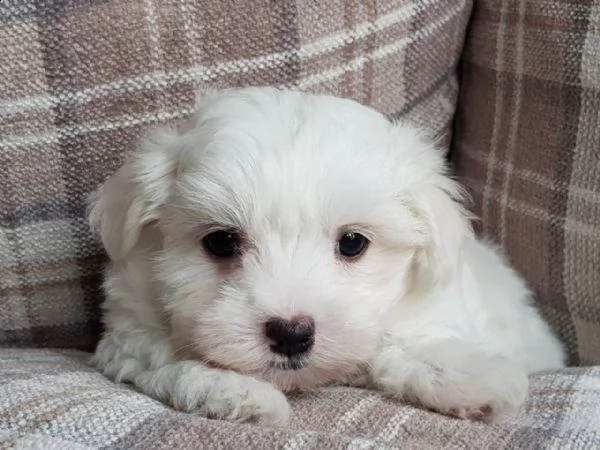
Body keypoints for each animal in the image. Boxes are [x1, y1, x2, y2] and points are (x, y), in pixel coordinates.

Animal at [88, 87, 564, 426]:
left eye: (352, 243)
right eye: (221, 242)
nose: (291, 334)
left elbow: (398, 343)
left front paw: (471, 380)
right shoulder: (128, 332)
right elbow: (170, 360)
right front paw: (237, 392)